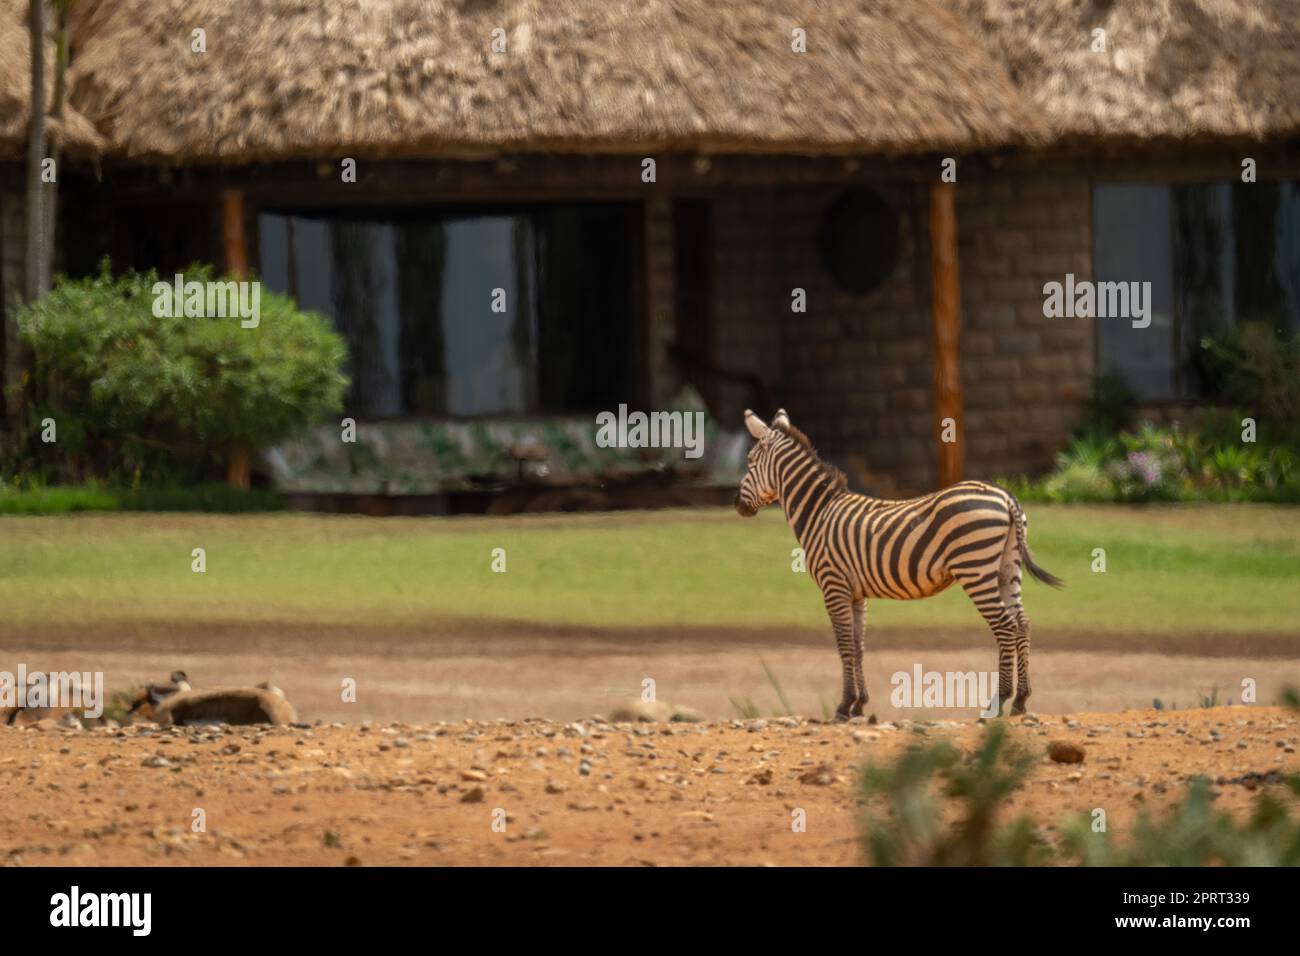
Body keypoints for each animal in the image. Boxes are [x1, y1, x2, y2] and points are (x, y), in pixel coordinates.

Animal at [738, 408, 1060, 723]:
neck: (819, 512)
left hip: (976, 568)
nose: (738, 506)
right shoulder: (856, 593)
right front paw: (859, 705)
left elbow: (844, 645)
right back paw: (1020, 701)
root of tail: (1006, 496)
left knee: (1005, 627)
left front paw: (843, 707)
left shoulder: (834, 585)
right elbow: (858, 646)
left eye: (750, 462)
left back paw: (997, 703)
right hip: (1007, 568)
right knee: (1022, 624)